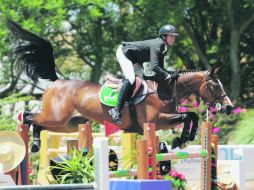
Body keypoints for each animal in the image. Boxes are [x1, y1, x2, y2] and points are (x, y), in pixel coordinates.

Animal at [7, 20, 234, 152]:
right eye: (216, 86)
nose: (230, 107)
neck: (165, 90)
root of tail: (56, 82)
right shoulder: (156, 120)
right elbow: (188, 116)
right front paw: (183, 139)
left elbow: (192, 116)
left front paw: (185, 139)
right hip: (56, 116)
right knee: (28, 117)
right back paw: (28, 141)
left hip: (67, 124)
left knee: (39, 124)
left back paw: (35, 144)